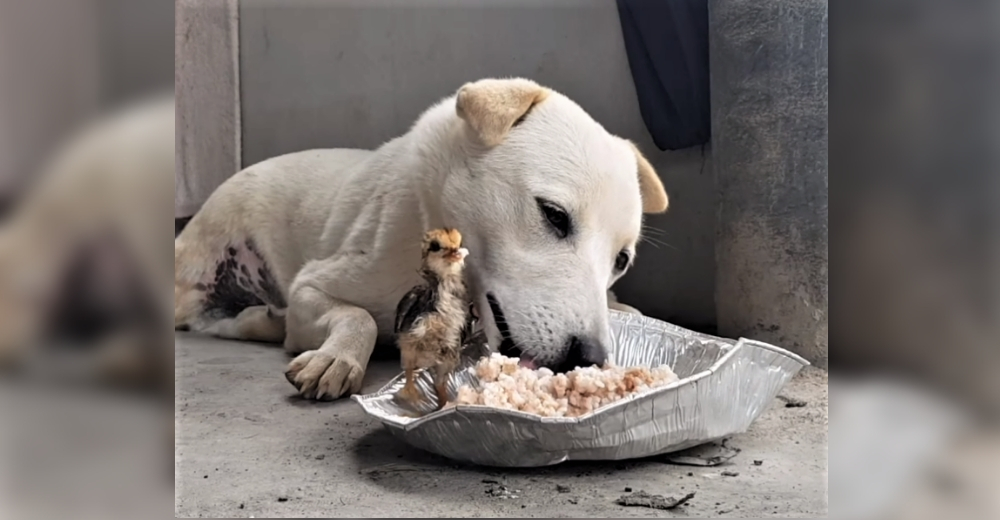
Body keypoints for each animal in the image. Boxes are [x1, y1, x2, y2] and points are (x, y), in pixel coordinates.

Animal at [175, 79, 668, 400]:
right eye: (554, 215)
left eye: (621, 260)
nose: (589, 357)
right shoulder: (312, 286)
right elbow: (358, 317)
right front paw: (336, 358)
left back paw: (265, 320)